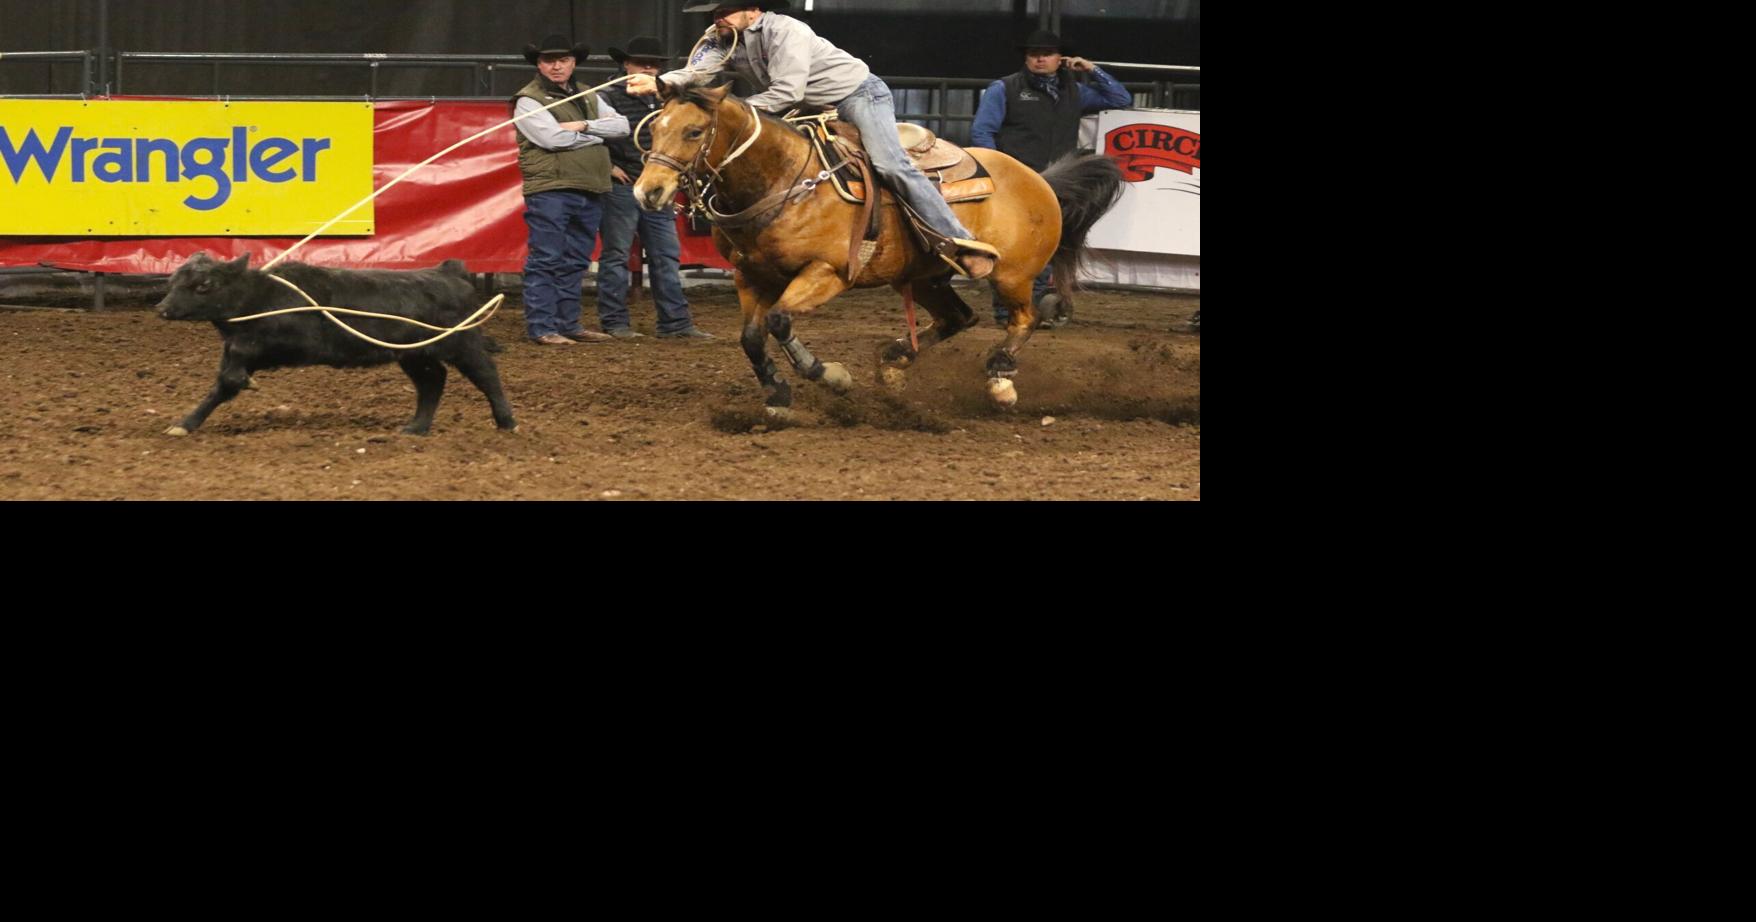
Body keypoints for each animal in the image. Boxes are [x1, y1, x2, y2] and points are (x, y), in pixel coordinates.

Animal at [635, 84, 1123, 414]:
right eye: (655, 129)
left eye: (694, 131)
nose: (648, 192)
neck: (787, 179)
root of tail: (1039, 179)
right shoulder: (751, 276)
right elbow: (752, 338)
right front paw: (777, 392)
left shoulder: (827, 272)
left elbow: (778, 320)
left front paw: (831, 376)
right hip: (926, 277)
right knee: (959, 318)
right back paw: (893, 361)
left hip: (1012, 275)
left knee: (1025, 318)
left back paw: (1000, 379)